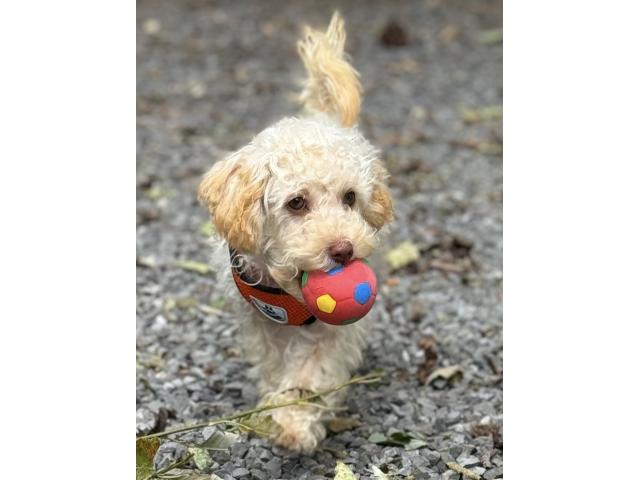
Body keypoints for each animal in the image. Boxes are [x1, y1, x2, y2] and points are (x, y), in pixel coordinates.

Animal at [198, 12, 392, 454]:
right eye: (296, 203)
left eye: (350, 197)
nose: (343, 250)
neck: (289, 291)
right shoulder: (260, 322)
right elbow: (275, 364)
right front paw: (277, 406)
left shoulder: (334, 333)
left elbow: (311, 373)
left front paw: (294, 423)